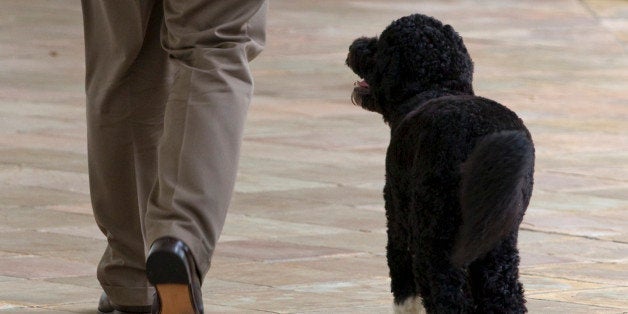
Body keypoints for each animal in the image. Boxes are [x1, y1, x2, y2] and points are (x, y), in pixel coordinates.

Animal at [348, 13, 536, 312]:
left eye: (382, 43)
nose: (355, 45)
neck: (435, 88)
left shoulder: (398, 213)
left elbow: (403, 282)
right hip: (498, 241)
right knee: (505, 294)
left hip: (436, 234)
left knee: (445, 294)